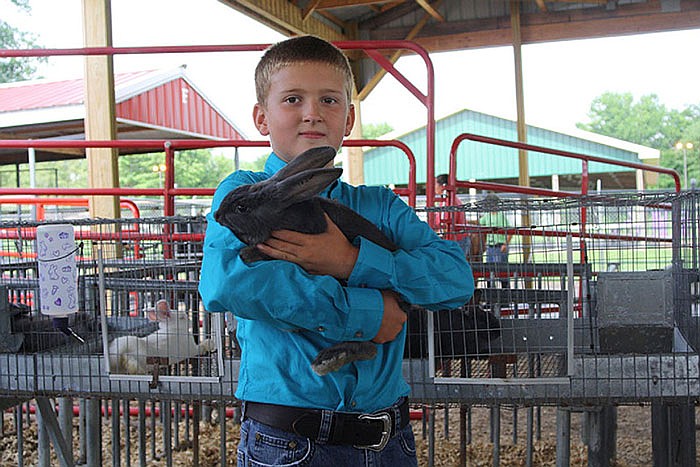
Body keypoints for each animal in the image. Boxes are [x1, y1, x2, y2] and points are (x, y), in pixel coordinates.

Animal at [216, 146, 408, 376]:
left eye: (241, 208)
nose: (216, 215)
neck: (280, 215)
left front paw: (248, 253)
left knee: (367, 344)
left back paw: (328, 359)